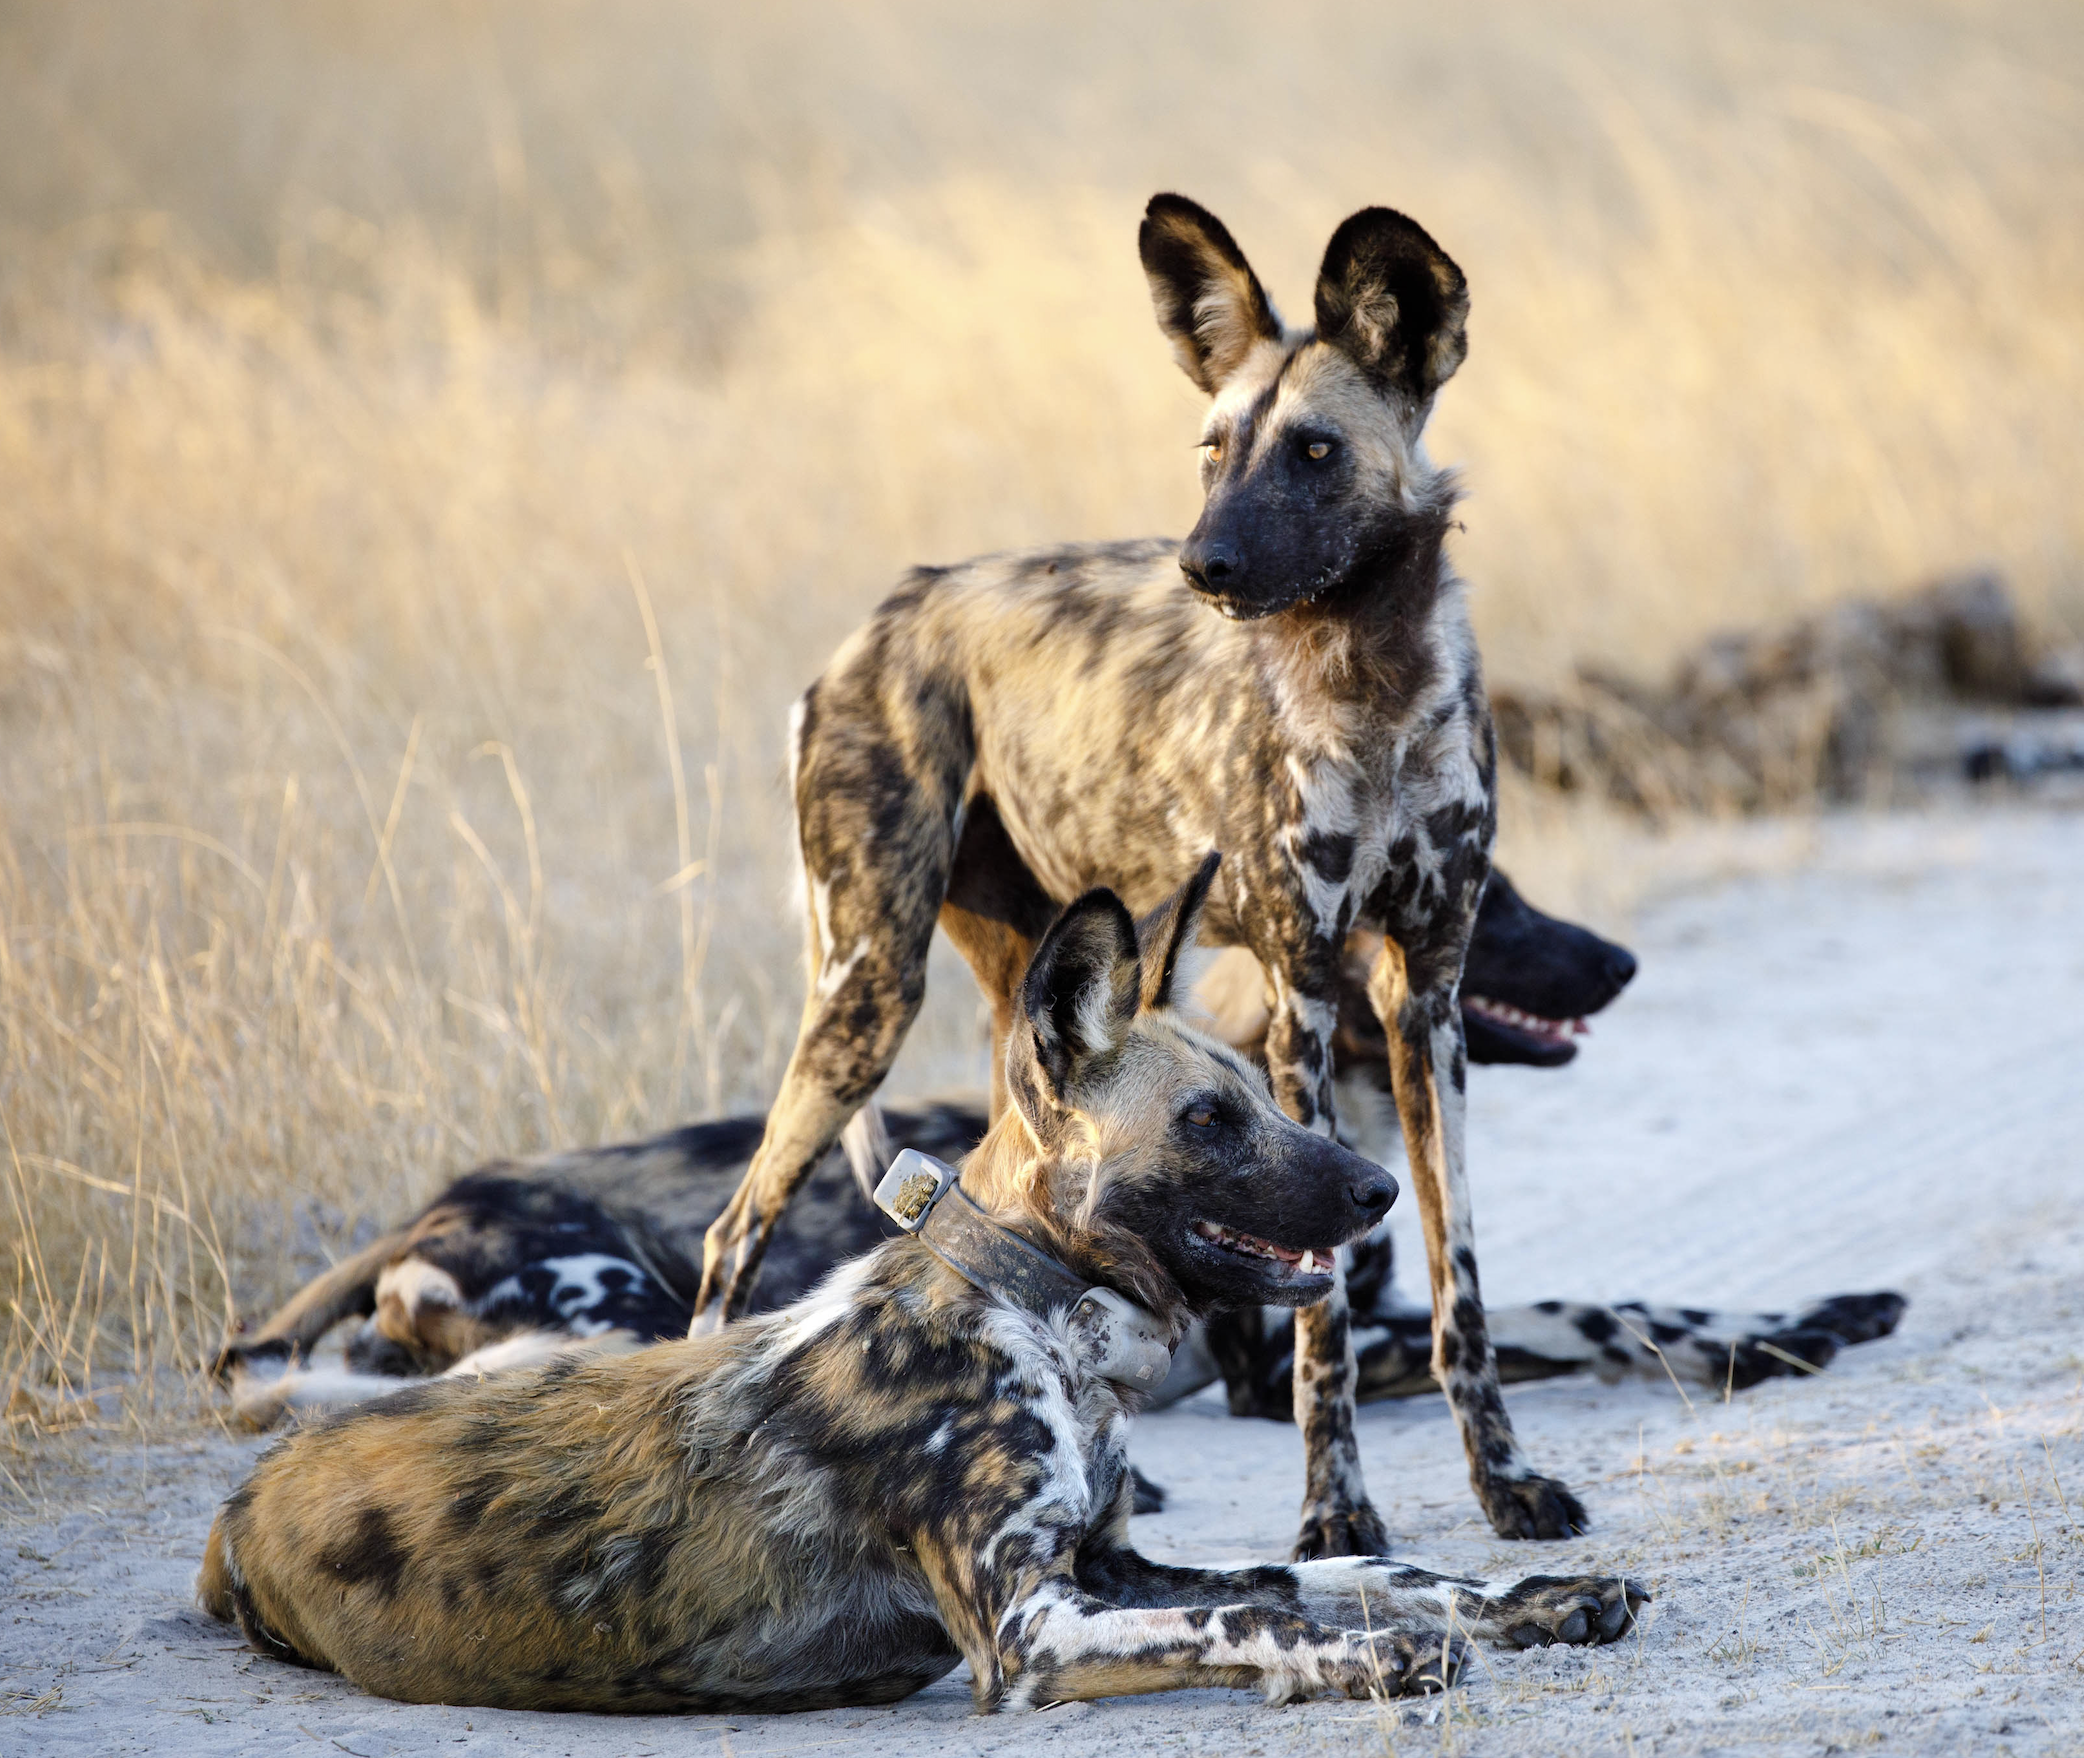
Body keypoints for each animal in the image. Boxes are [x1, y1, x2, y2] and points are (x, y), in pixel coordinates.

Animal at [203, 879, 1650, 1716]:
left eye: (1266, 1091)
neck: (1045, 1321)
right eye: (1207, 1118)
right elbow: (1263, 1609)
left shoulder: (1109, 1565)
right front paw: (1371, 1661)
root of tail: (241, 1502)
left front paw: (1537, 1600)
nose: (1379, 1190)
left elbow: (1362, 1568)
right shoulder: (1032, 1627)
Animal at [211, 870, 1908, 1433]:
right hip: (616, 1305)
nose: (1621, 961)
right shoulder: (1285, 1363)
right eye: (1494, 911)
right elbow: (1577, 1318)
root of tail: (422, 1206)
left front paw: (1801, 1323)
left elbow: (1609, 1304)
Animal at [691, 192, 1567, 1558]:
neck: (1363, 684)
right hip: (865, 995)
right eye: (1210, 450)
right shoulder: (1303, 993)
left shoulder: (1422, 994)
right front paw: (1335, 1513)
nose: (1202, 564)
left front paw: (1505, 1484)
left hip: (1033, 981)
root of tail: (879, 619)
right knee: (733, 1234)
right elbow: (1321, 1323)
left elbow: (1456, 1280)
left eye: (1313, 451)